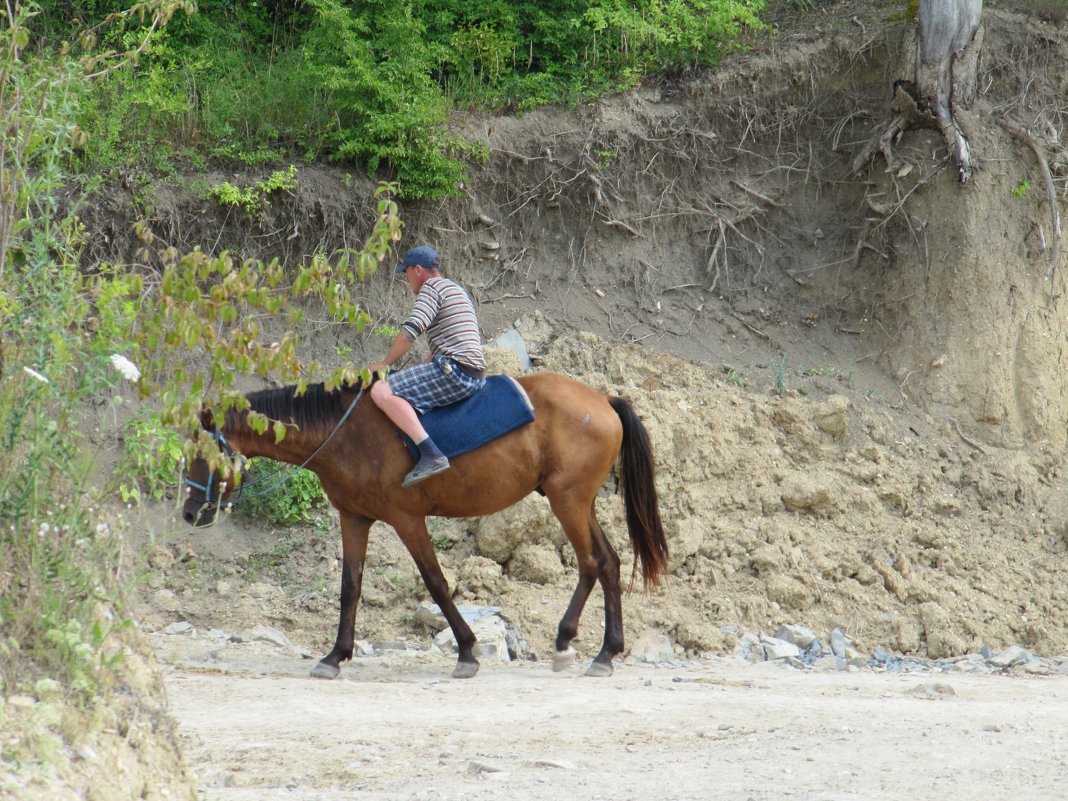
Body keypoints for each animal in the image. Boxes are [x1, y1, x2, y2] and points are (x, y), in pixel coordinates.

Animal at [182, 373, 666, 679]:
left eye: (201, 455)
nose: (189, 512)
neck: (343, 434)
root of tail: (603, 400)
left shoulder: (406, 519)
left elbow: (436, 583)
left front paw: (467, 651)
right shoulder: (354, 518)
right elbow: (350, 587)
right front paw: (336, 655)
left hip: (569, 502)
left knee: (589, 564)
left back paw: (568, 643)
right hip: (577, 503)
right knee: (609, 562)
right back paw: (606, 652)